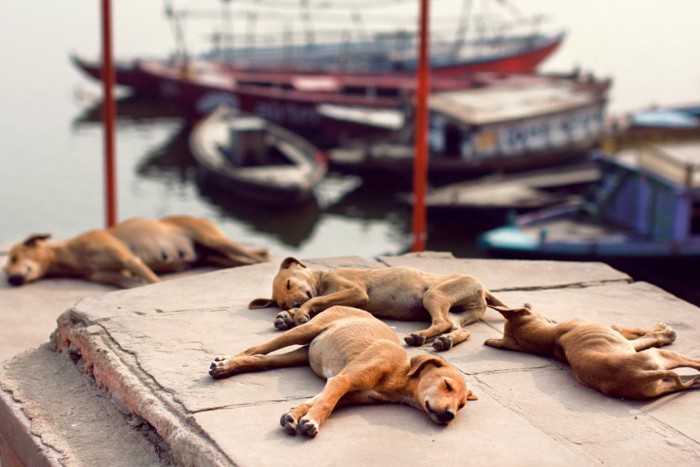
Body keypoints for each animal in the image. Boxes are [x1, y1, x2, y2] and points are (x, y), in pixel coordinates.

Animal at [4, 217, 270, 288]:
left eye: (16, 256)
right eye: (6, 270)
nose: (11, 279)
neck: (72, 254)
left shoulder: (129, 259)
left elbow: (152, 280)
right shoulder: (116, 277)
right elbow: (135, 284)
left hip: (213, 238)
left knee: (254, 258)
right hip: (215, 255)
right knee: (243, 261)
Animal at [208, 308, 476, 438]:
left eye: (462, 405)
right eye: (447, 385)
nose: (450, 415)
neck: (398, 375)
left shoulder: (344, 390)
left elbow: (319, 401)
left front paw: (295, 415)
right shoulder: (343, 379)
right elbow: (326, 403)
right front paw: (311, 422)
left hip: (300, 353)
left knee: (261, 360)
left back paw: (230, 366)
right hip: (304, 330)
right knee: (257, 348)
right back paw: (225, 363)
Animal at [249, 258, 506, 352]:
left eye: (290, 283)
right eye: (281, 300)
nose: (292, 302)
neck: (322, 280)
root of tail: (482, 288)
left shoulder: (356, 292)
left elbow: (314, 299)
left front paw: (299, 313)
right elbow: (314, 302)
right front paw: (287, 315)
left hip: (435, 295)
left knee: (442, 322)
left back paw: (423, 336)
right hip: (459, 310)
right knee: (457, 328)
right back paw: (442, 340)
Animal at [484, 306, 700, 400]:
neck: (551, 338)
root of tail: (637, 375)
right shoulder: (619, 333)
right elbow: (645, 334)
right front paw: (664, 331)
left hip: (662, 387)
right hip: (661, 357)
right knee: (693, 363)